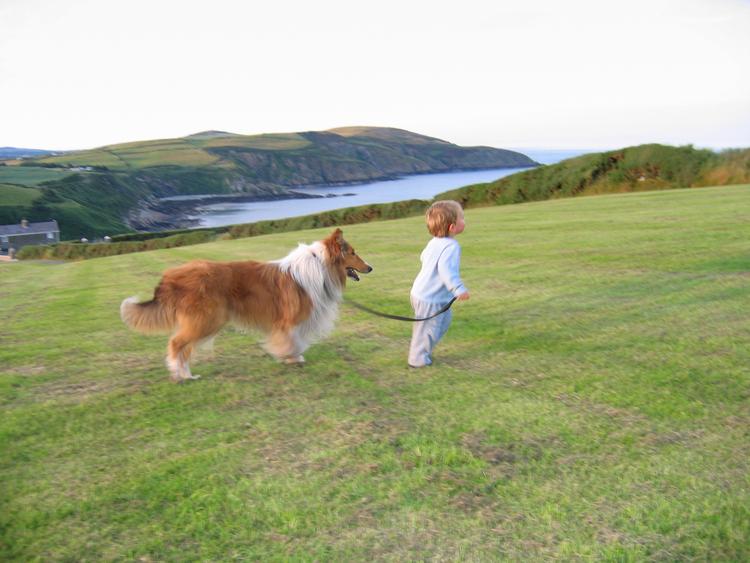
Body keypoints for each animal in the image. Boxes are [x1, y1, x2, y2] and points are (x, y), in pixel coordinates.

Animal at [119, 229, 374, 384]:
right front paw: (292, 358)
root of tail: (170, 276)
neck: (321, 267)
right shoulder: (288, 320)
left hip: (202, 322)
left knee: (184, 348)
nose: (370, 268)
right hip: (206, 320)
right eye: (353, 252)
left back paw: (186, 374)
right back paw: (181, 375)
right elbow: (292, 340)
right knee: (176, 344)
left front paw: (291, 357)